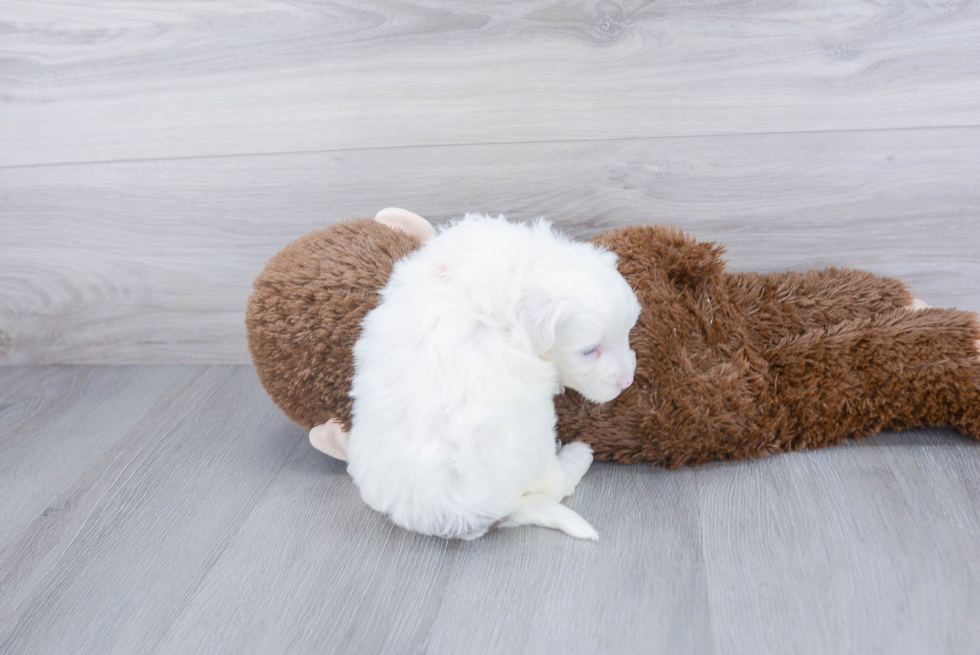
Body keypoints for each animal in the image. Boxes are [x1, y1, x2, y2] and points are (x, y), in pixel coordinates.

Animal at [346, 215, 644, 544]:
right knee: (553, 484)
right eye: (589, 351)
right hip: (532, 440)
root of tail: (455, 517)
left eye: (629, 329)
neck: (518, 271)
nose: (628, 382)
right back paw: (578, 454)